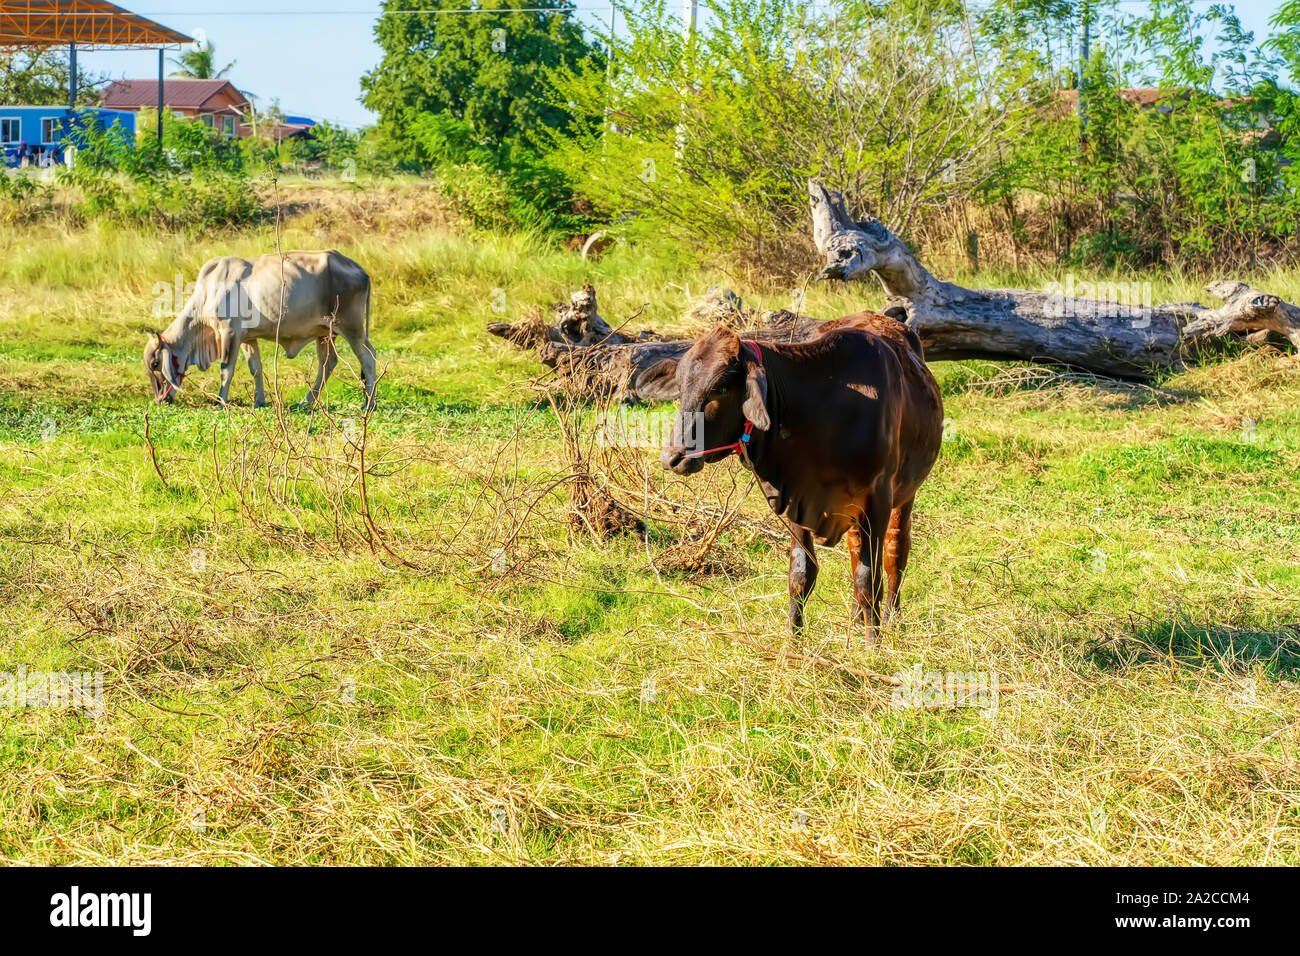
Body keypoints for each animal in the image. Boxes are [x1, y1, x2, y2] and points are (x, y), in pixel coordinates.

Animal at [142, 250, 376, 410]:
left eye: (155, 364)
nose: (160, 400)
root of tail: (360, 269)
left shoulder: (230, 332)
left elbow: (226, 370)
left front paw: (220, 401)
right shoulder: (247, 338)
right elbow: (255, 368)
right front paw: (259, 401)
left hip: (353, 328)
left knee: (368, 358)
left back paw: (369, 404)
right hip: (326, 334)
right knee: (327, 364)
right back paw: (306, 402)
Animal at [644, 312, 943, 643]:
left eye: (720, 389)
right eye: (681, 388)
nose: (673, 457)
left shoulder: (877, 498)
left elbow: (869, 579)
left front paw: (873, 644)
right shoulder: (797, 497)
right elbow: (801, 574)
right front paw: (794, 640)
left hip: (905, 496)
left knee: (895, 554)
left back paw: (890, 618)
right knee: (856, 554)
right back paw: (855, 620)